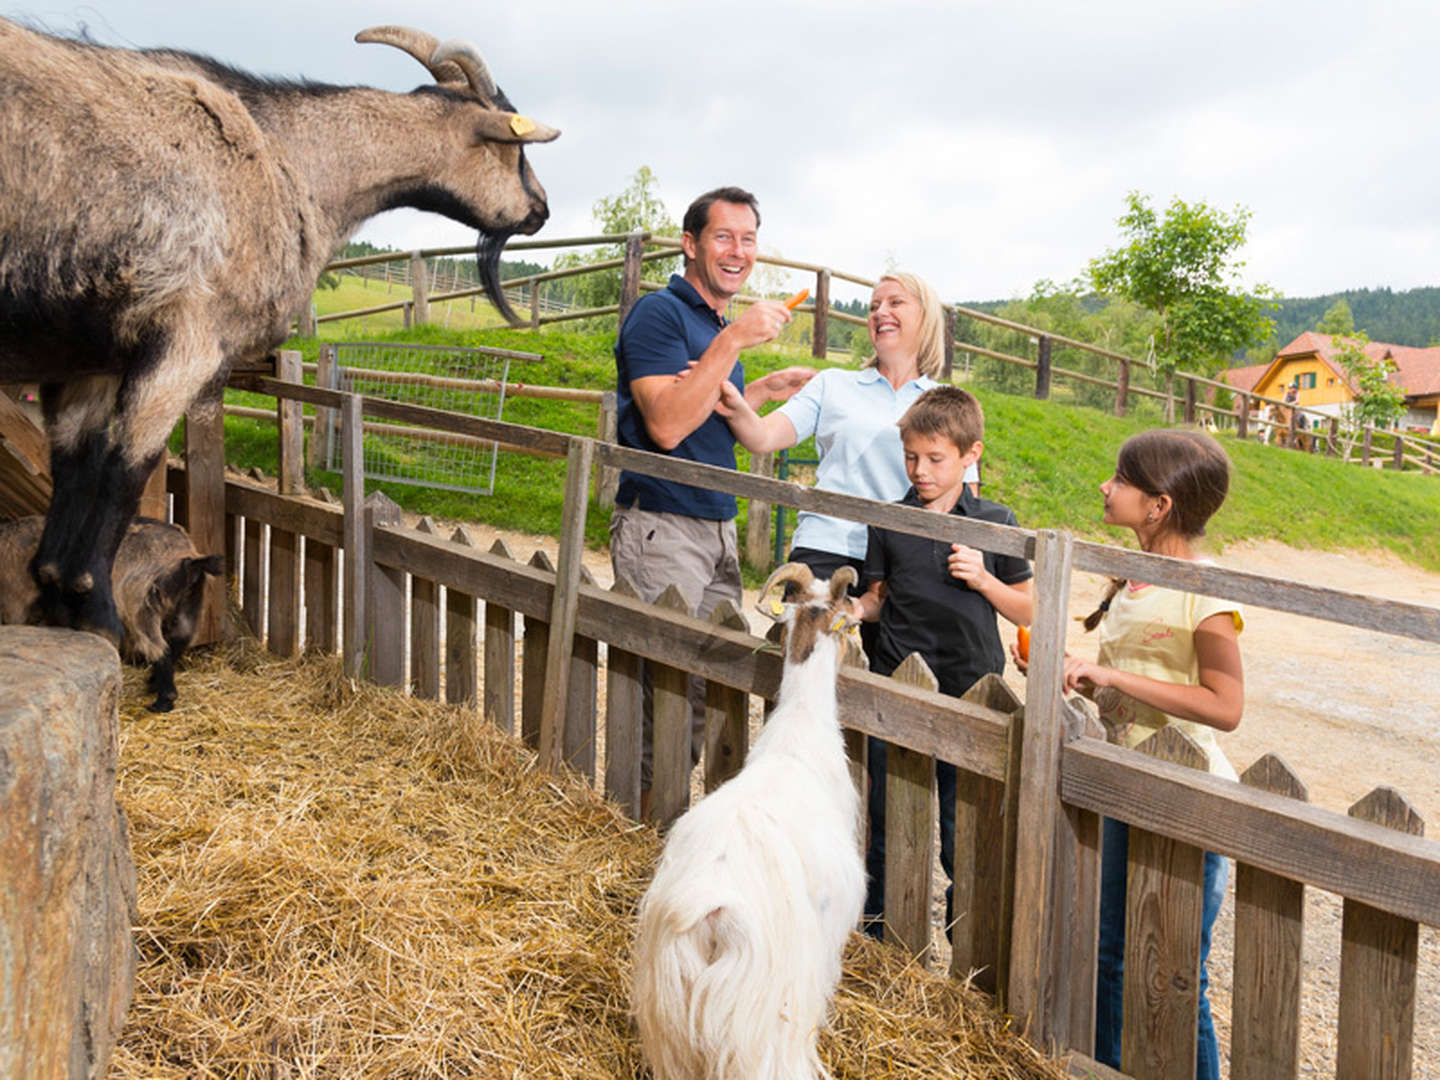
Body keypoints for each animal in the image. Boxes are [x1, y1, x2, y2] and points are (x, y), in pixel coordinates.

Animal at [0, 23, 555, 642]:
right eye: (515, 147)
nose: (541, 209)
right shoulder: (189, 339)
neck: (284, 153)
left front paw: (58, 602)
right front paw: (98, 615)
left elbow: (74, 468)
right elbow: (125, 467)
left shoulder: (88, 362)